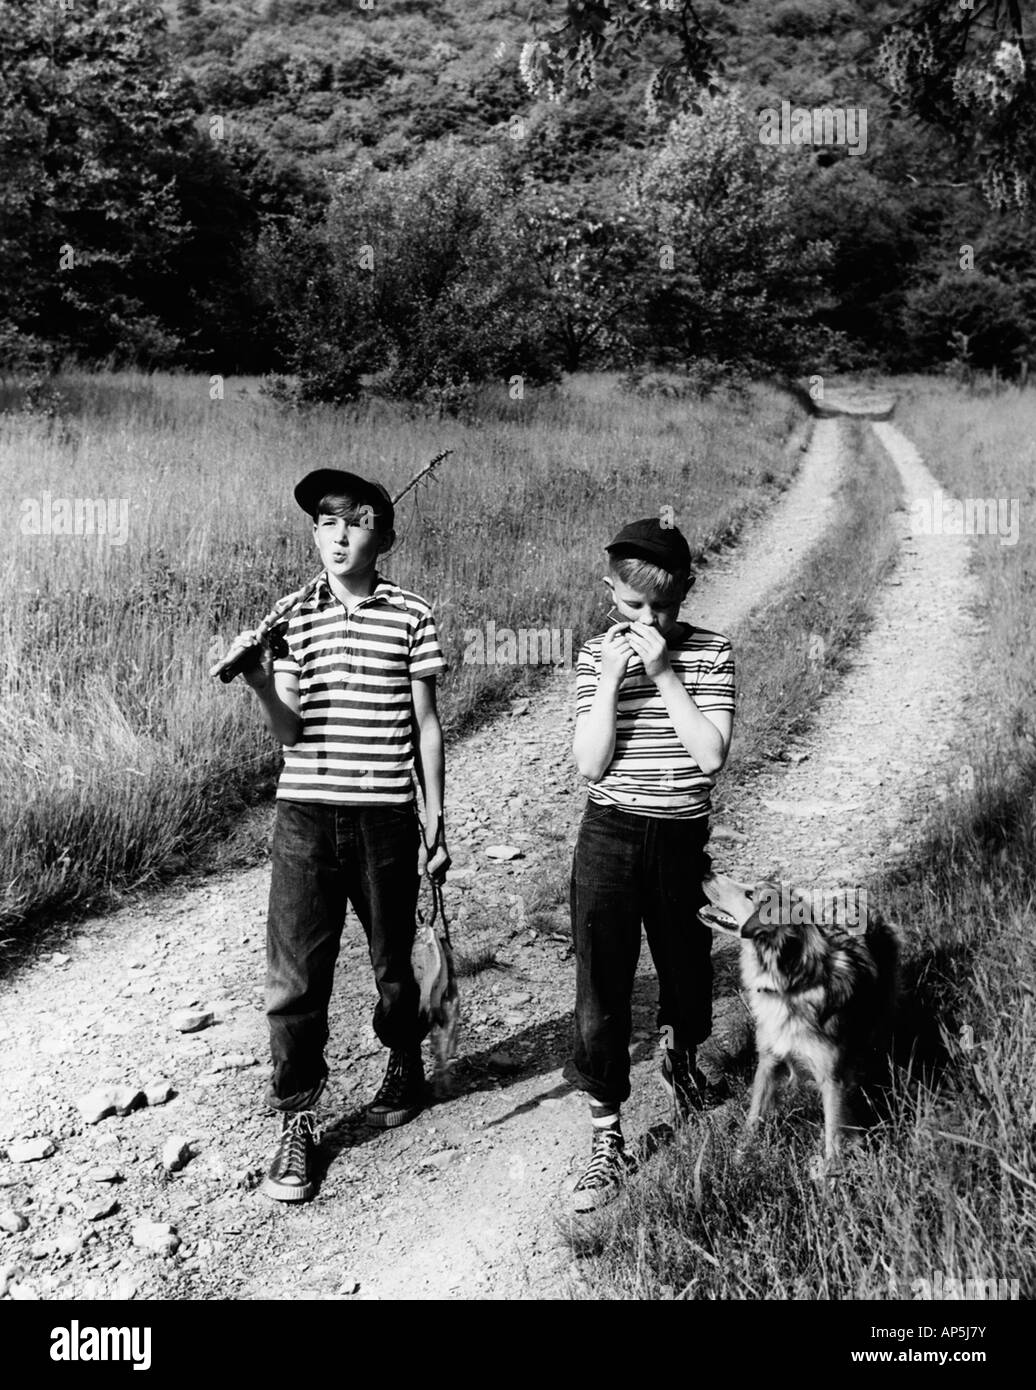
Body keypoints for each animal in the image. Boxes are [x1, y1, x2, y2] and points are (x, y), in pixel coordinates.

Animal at [698, 872, 901, 1167]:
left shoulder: (832, 1078)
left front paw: (833, 1176)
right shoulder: (768, 1059)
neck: (789, 988)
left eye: (750, 894)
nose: (706, 872)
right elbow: (754, 1116)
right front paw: (740, 1158)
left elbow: (833, 1134)